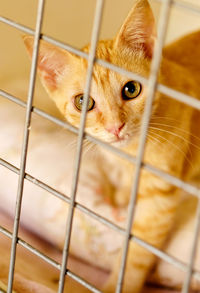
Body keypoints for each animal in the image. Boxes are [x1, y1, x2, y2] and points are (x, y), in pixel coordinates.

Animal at [22, 0, 200, 290]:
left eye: (131, 89)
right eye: (82, 102)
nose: (115, 127)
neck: (128, 154)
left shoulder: (158, 203)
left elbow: (135, 254)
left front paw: (118, 285)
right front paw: (122, 198)